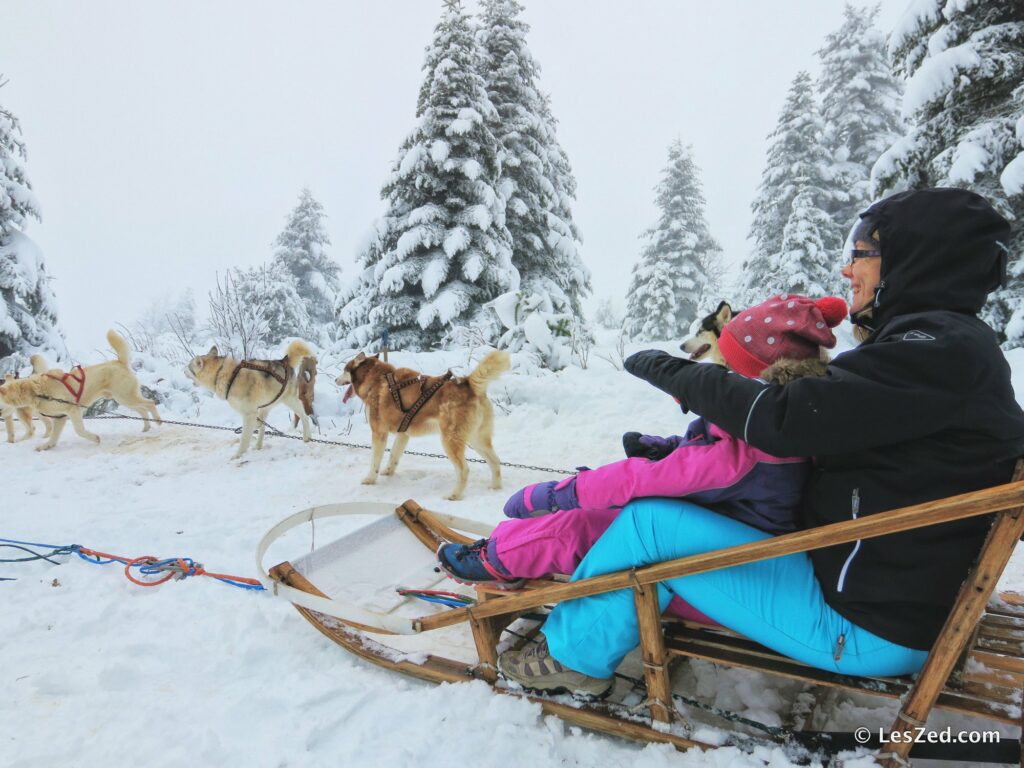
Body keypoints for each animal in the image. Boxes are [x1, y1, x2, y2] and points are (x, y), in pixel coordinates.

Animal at [0, 331, 161, 450]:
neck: (35, 390)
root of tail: (119, 362)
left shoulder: (73, 410)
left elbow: (78, 430)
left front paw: (95, 438)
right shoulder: (60, 418)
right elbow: (54, 436)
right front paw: (47, 446)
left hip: (126, 397)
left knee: (150, 403)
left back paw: (158, 421)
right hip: (124, 399)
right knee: (142, 409)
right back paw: (146, 427)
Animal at [186, 342, 315, 460]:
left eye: (188, 366)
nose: (183, 369)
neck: (222, 374)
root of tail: (284, 361)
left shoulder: (249, 414)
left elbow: (244, 437)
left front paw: (238, 455)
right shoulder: (249, 411)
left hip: (289, 400)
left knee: (304, 416)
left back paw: (307, 437)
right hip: (267, 404)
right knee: (262, 426)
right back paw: (258, 444)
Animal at [337, 352, 509, 501]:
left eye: (344, 369)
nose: (335, 380)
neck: (376, 380)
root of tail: (468, 384)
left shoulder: (379, 433)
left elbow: (374, 462)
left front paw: (370, 479)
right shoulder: (403, 434)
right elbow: (393, 456)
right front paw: (389, 471)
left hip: (450, 441)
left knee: (464, 470)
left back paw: (454, 495)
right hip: (477, 439)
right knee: (496, 461)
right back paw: (495, 487)